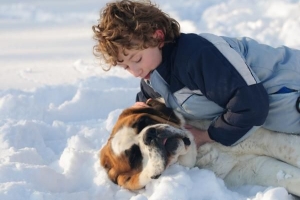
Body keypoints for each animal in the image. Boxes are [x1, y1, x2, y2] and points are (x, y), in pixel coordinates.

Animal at [100, 99, 300, 196]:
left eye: (144, 121)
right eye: (134, 156)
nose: (150, 135)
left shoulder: (266, 139)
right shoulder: (255, 168)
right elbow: (288, 176)